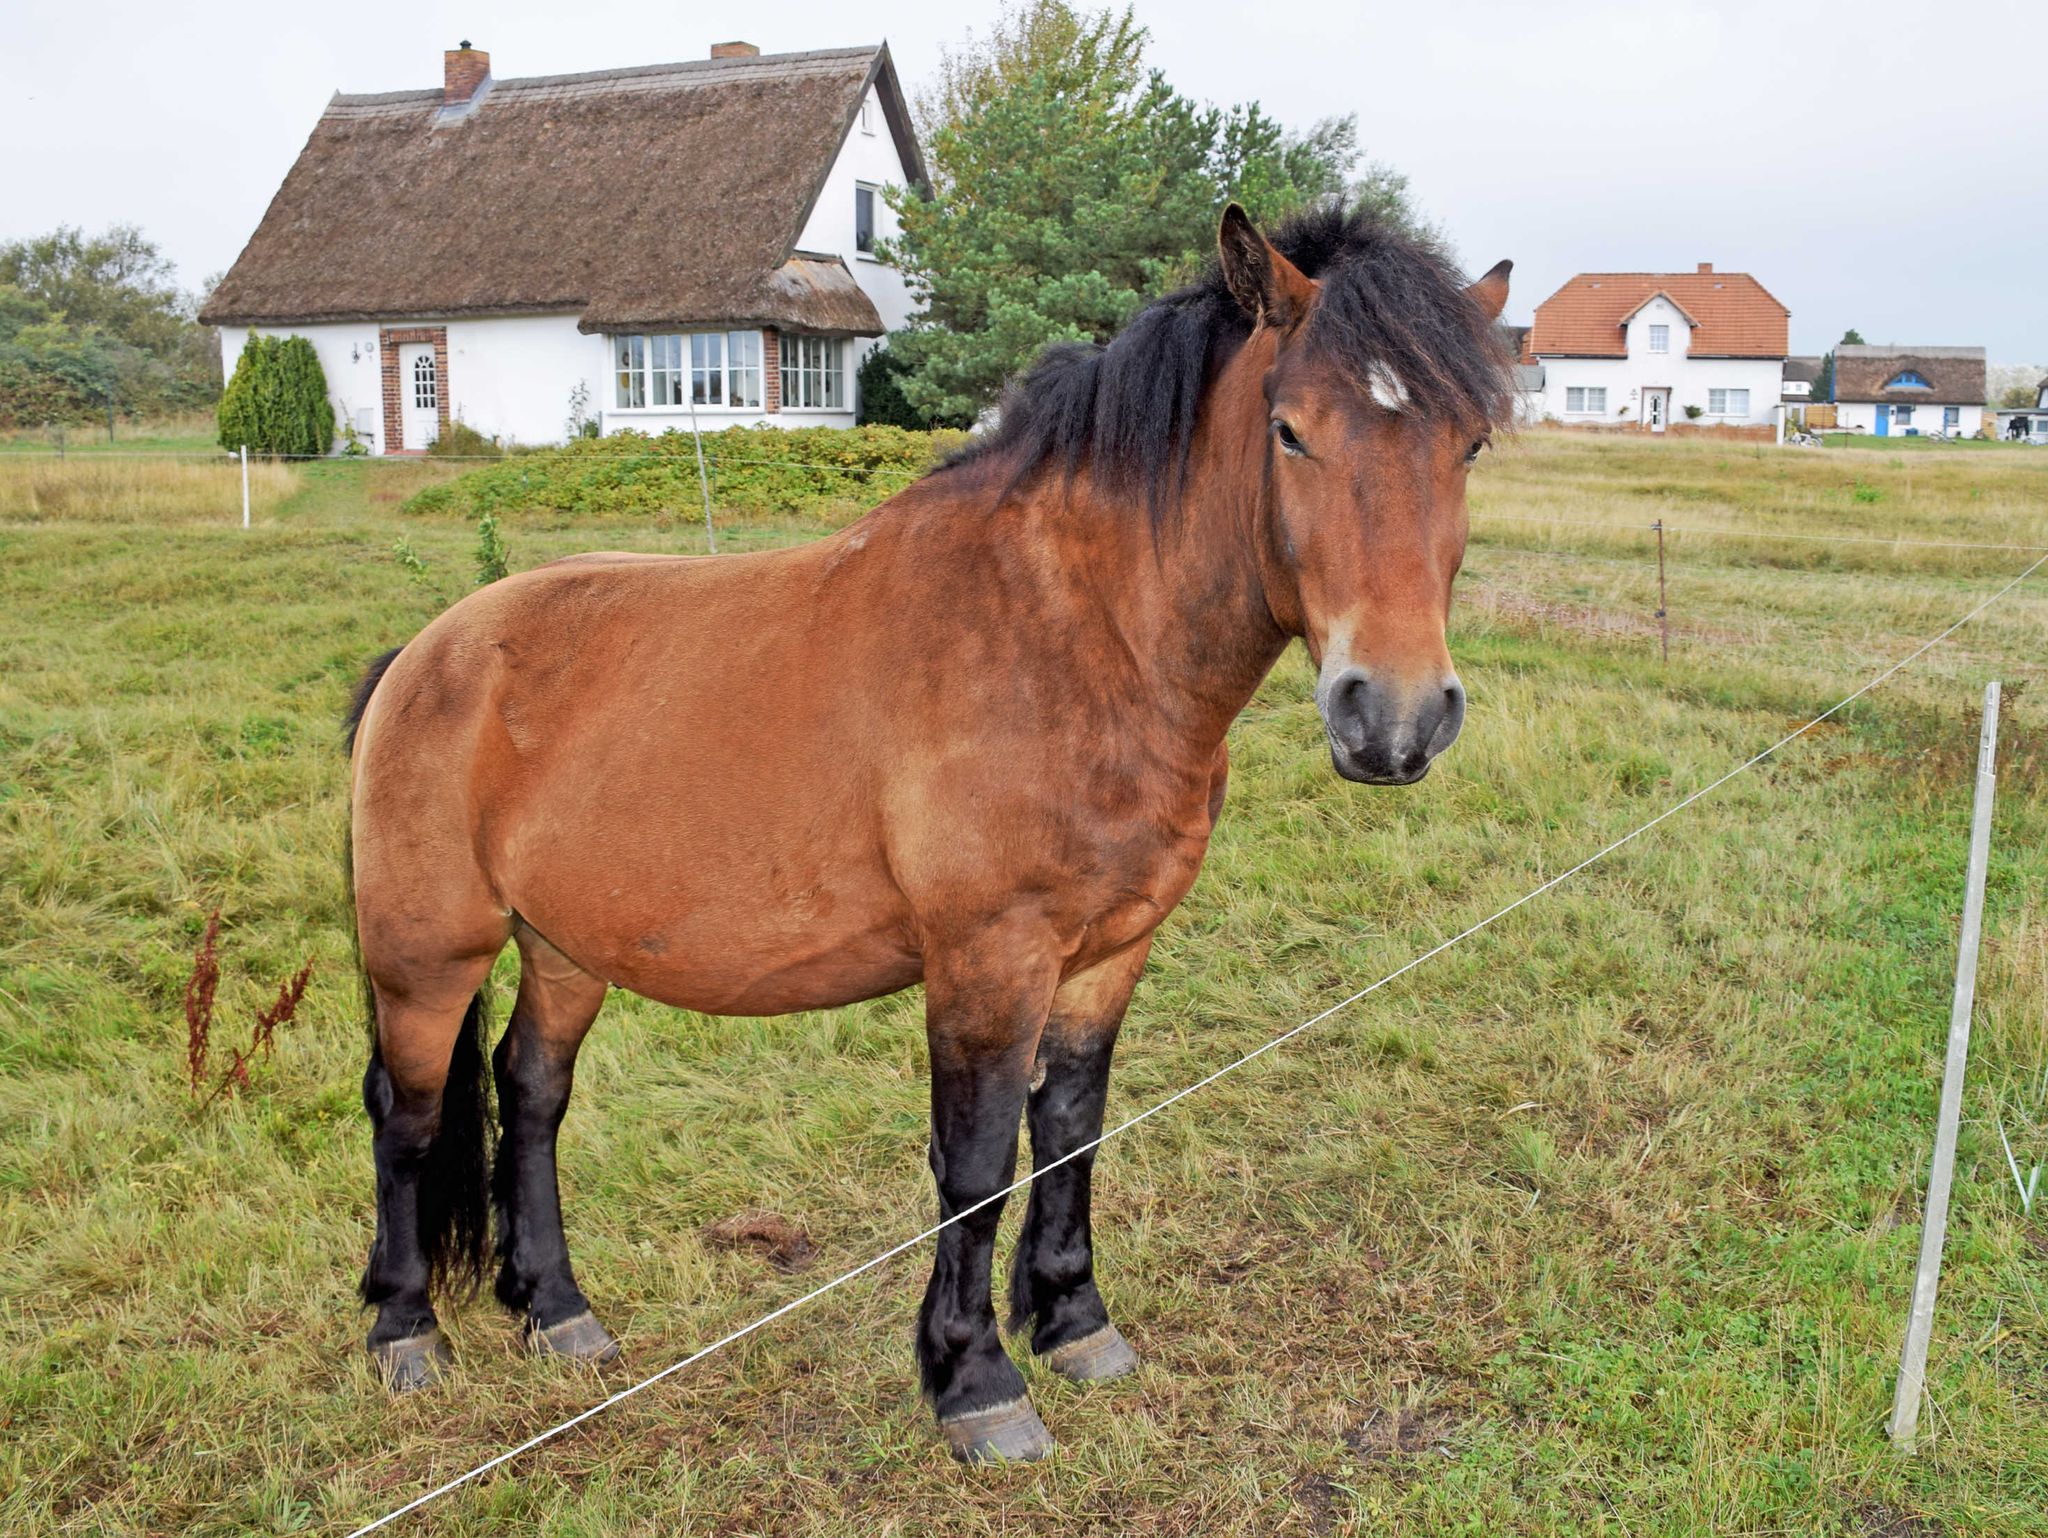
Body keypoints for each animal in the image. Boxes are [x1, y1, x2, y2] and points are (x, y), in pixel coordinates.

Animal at [344, 207, 1515, 1466]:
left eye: (1468, 445)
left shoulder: (1107, 953)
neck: (1078, 637)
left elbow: (1069, 1129)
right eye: (1290, 431)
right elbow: (977, 1158)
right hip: (428, 954)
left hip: (565, 945)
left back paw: (555, 1308)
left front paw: (1074, 1321)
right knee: (408, 1112)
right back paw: (405, 1329)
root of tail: (425, 653)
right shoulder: (986, 961)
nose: (1393, 715)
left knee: (531, 1092)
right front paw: (974, 1380)